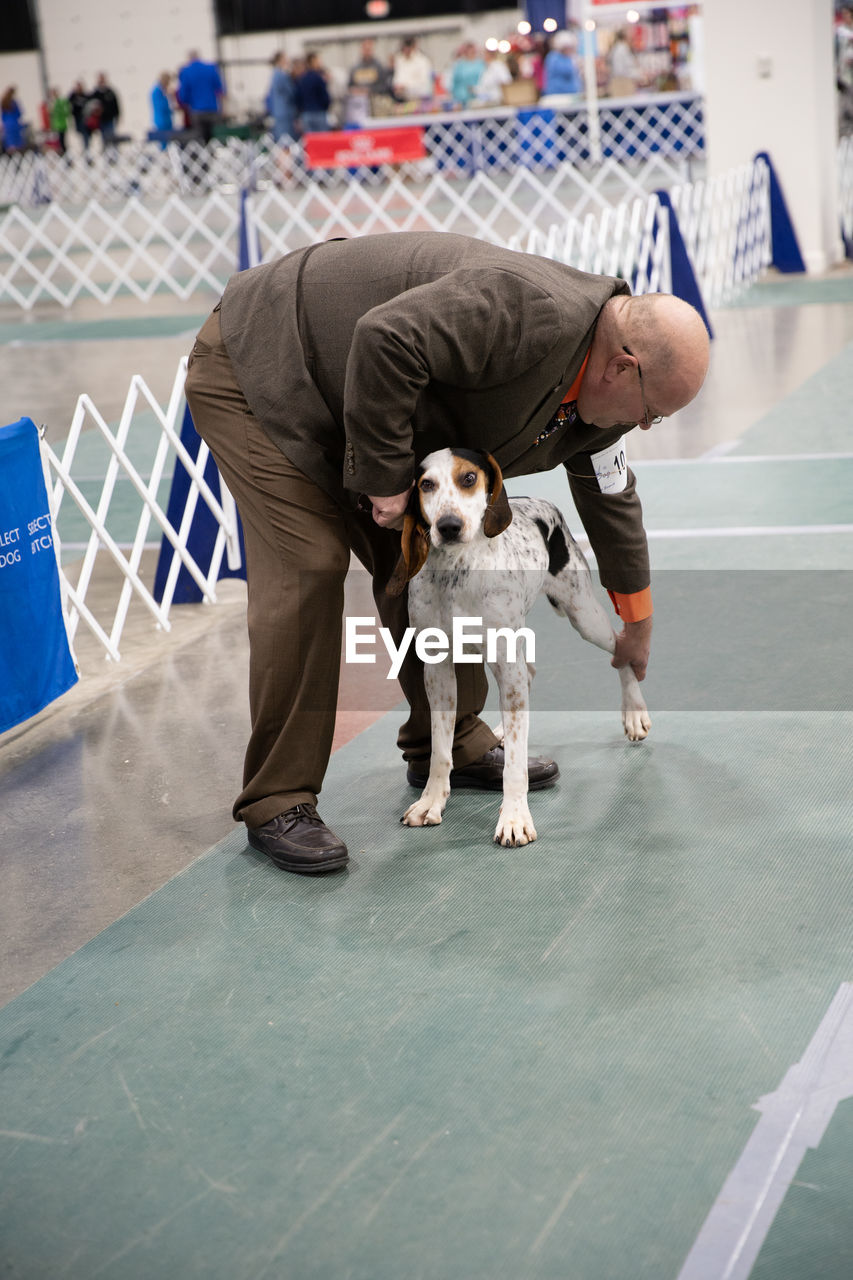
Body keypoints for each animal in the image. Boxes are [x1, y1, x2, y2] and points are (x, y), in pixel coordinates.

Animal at [386, 450, 650, 849]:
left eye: (468, 478)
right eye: (426, 484)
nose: (448, 526)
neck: (457, 572)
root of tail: (538, 501)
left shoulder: (505, 664)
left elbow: (514, 764)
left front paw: (514, 819)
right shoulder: (438, 672)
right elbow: (440, 751)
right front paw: (430, 801)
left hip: (583, 615)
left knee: (621, 652)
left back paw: (634, 712)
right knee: (530, 676)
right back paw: (497, 730)